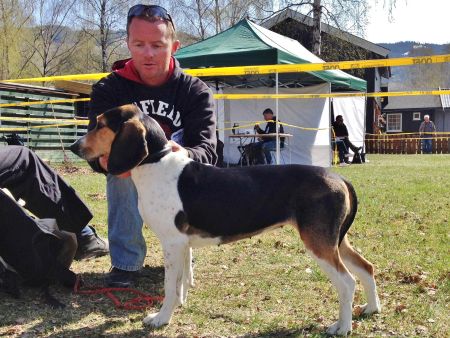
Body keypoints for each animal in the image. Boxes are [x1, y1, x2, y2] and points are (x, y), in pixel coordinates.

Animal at [70, 105, 380, 336]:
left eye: (100, 124)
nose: (74, 146)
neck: (155, 162)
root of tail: (339, 177)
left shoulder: (172, 244)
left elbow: (170, 286)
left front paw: (161, 318)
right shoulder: (182, 245)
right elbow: (181, 283)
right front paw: (179, 307)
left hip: (319, 244)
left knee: (347, 282)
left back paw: (342, 327)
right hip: (336, 241)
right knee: (367, 268)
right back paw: (371, 309)